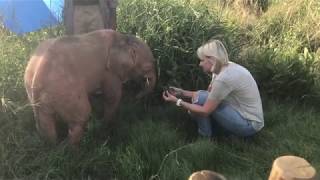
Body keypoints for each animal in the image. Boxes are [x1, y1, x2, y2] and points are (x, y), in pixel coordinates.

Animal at [23, 29, 156, 145]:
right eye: (147, 67)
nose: (136, 97)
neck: (122, 38)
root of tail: (36, 79)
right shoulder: (109, 72)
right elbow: (113, 96)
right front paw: (105, 124)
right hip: (65, 91)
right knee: (81, 116)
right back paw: (73, 149)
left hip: (42, 96)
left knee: (45, 122)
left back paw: (53, 145)